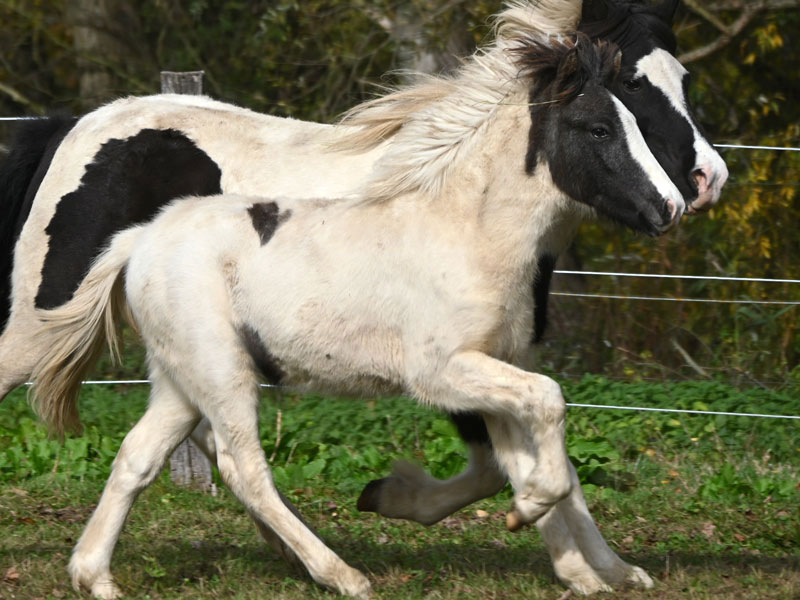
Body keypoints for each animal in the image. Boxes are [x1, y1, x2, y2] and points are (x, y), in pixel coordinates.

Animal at [28, 34, 681, 598]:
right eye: (598, 127)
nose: (670, 206)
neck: (467, 233)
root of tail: (139, 240)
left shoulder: (493, 370)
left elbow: (526, 458)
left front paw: (586, 571)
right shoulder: (441, 373)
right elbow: (548, 408)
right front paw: (525, 517)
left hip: (181, 379)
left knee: (138, 455)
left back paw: (95, 577)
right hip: (221, 371)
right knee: (243, 468)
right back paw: (342, 575)